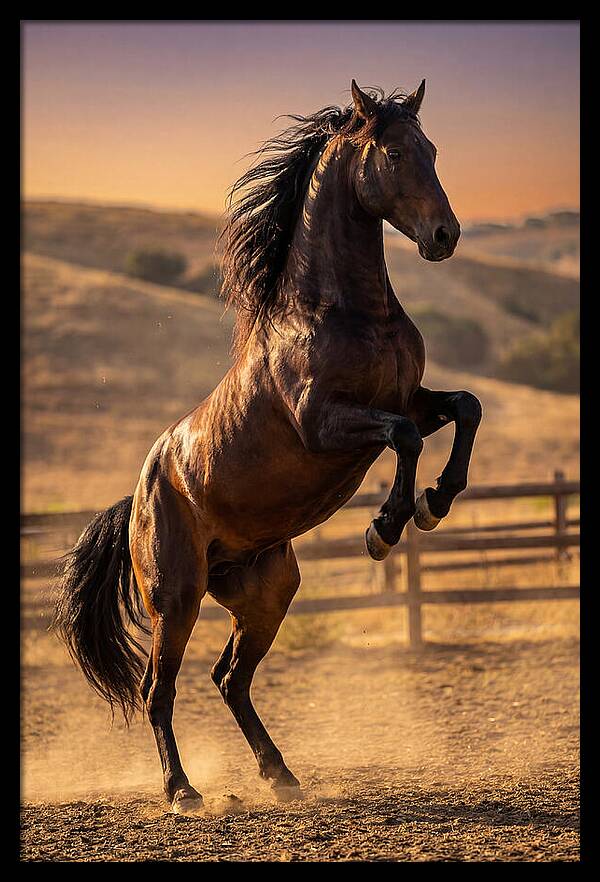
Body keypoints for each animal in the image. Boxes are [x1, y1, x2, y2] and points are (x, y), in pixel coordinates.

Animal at [54, 79, 482, 814]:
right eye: (395, 153)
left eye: (432, 149)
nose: (444, 236)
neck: (342, 312)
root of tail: (138, 496)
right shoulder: (325, 423)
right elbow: (401, 440)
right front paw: (385, 527)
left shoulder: (409, 399)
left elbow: (464, 409)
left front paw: (436, 502)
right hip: (177, 597)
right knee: (159, 690)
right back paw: (183, 792)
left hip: (267, 590)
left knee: (230, 679)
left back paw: (280, 774)